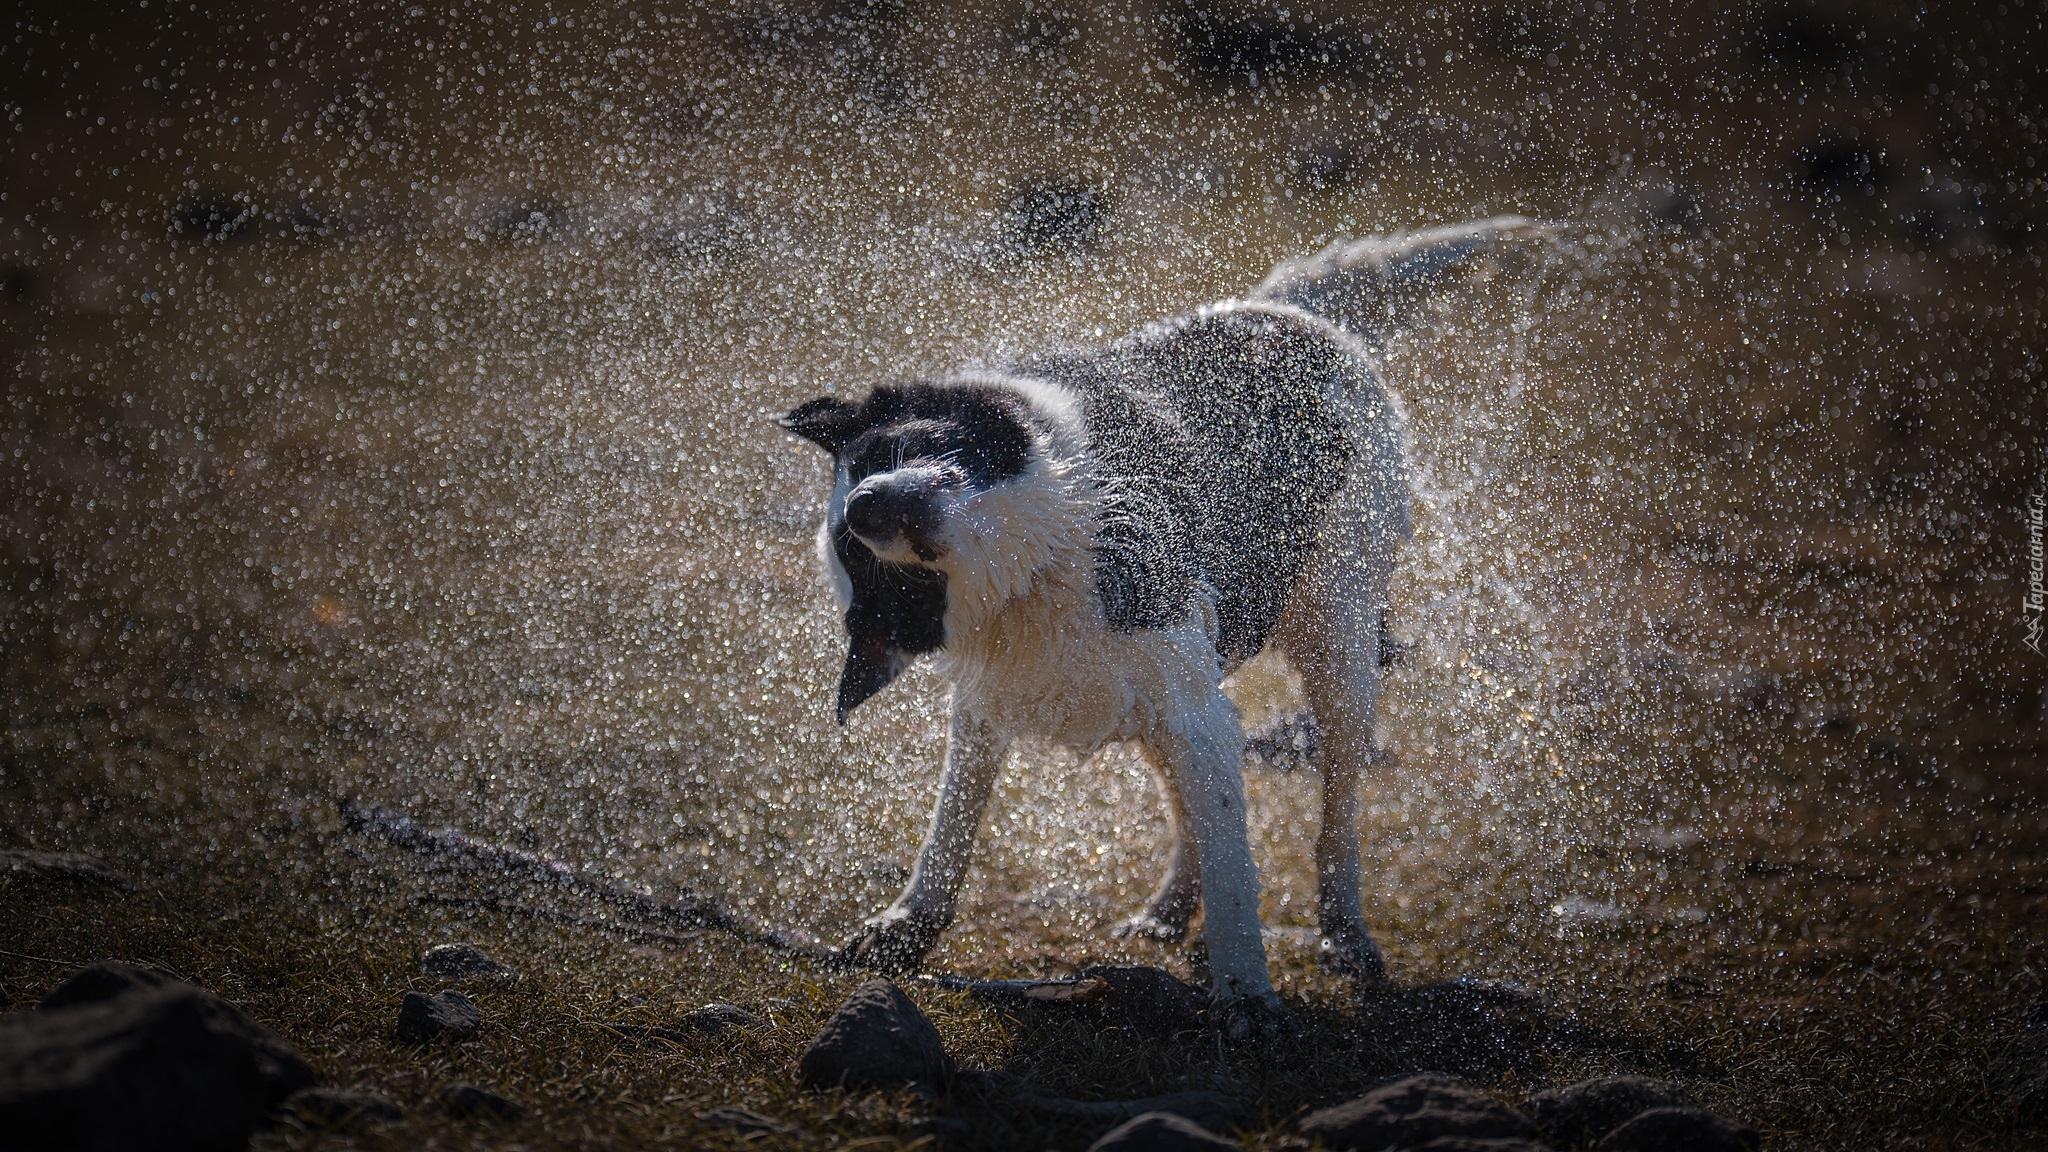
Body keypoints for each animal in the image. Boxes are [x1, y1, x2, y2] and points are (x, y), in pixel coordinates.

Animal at [780, 217, 1551, 1041]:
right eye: (887, 580)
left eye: (888, 450)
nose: (863, 504)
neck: (1052, 547)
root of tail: (1283, 309)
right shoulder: (996, 705)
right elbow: (950, 825)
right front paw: (907, 925)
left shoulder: (1192, 705)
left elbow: (1236, 868)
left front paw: (1246, 992)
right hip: (1165, 702)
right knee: (1192, 810)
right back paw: (1170, 909)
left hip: (1335, 647)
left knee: (1336, 813)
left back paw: (1344, 930)